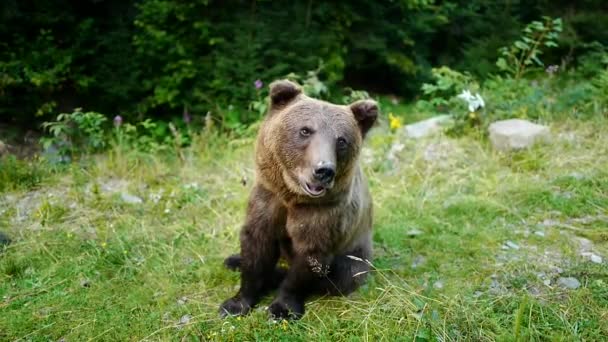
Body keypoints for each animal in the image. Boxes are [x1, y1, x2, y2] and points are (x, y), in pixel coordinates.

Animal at [221, 79, 378, 320]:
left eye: (341, 140)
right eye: (305, 130)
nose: (324, 171)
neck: (292, 196)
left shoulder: (324, 215)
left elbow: (308, 260)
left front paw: (282, 308)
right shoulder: (268, 198)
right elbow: (256, 244)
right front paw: (236, 303)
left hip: (355, 257)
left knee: (338, 280)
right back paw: (234, 260)